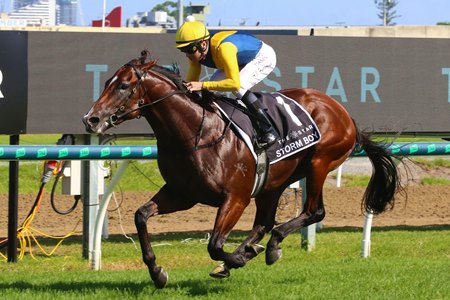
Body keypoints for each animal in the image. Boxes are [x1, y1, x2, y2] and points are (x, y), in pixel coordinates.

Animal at [83, 51, 404, 288]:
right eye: (107, 81)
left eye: (124, 85)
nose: (91, 119)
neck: (196, 133)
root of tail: (343, 112)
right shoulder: (182, 194)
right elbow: (141, 216)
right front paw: (157, 272)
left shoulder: (235, 197)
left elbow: (214, 243)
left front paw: (234, 259)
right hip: (274, 181)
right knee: (264, 222)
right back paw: (251, 250)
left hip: (320, 163)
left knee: (313, 212)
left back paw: (266, 248)